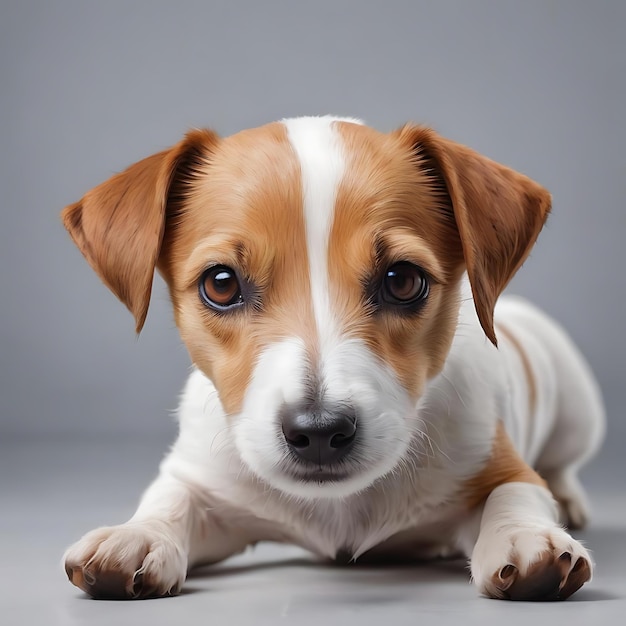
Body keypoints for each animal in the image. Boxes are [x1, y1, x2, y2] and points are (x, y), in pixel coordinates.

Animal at [61, 114, 604, 596]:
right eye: (221, 284)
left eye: (402, 280)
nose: (319, 432)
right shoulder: (203, 481)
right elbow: (170, 497)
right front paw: (136, 535)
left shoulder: (498, 463)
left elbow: (514, 492)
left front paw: (524, 536)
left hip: (579, 416)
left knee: (560, 466)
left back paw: (570, 500)